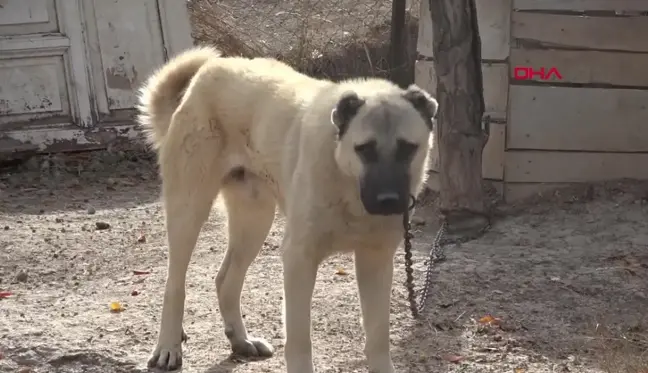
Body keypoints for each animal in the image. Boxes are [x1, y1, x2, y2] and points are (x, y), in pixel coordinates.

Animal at [137, 46, 440, 372]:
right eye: (364, 149)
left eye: (408, 148)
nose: (388, 200)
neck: (346, 184)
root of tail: (209, 71)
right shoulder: (299, 259)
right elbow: (299, 339)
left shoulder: (376, 262)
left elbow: (377, 336)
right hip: (189, 211)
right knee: (174, 284)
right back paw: (168, 347)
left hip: (254, 222)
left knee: (225, 279)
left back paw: (241, 340)